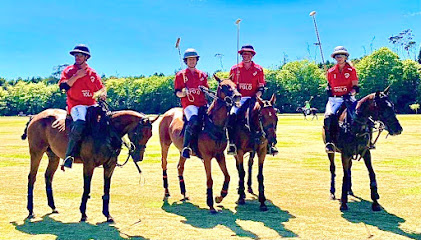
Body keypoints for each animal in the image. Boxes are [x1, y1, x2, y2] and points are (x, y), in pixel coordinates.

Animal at [20, 108, 158, 222]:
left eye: (150, 135)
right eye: (139, 133)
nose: (139, 157)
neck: (108, 131)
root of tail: (35, 116)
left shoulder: (110, 165)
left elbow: (107, 189)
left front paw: (107, 215)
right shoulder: (88, 164)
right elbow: (87, 188)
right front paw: (83, 214)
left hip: (53, 155)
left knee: (48, 176)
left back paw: (53, 207)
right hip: (36, 151)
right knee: (32, 177)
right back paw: (31, 210)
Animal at [158, 74, 240, 213]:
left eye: (235, 85)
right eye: (223, 86)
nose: (237, 96)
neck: (214, 124)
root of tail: (168, 112)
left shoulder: (219, 155)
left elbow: (227, 176)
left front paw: (219, 197)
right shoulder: (207, 156)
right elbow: (209, 180)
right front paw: (211, 205)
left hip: (182, 150)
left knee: (180, 166)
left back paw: (184, 193)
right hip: (164, 144)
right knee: (164, 164)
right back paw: (167, 191)